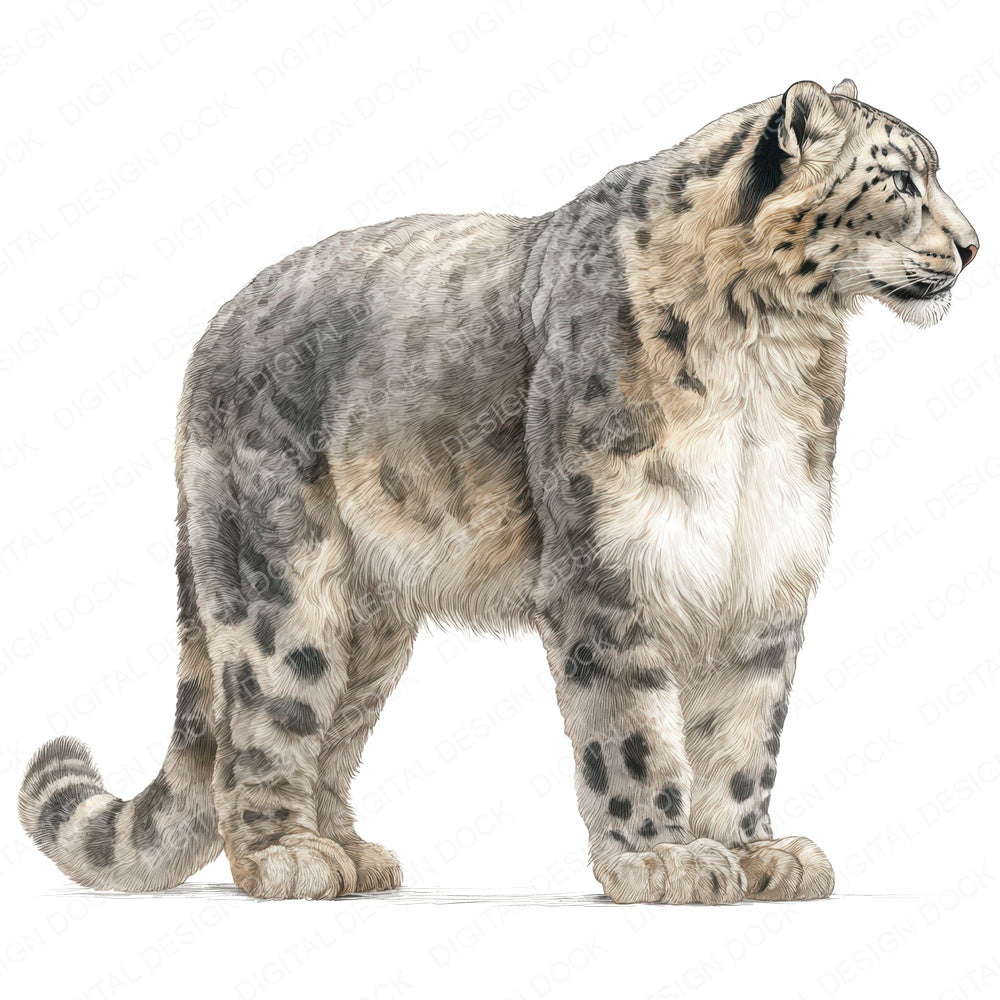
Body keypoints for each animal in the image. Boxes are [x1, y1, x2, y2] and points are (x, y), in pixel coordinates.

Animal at [20, 79, 978, 903]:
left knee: (333, 730)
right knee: (262, 720)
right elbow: (634, 733)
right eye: (901, 178)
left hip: (373, 623)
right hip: (281, 587)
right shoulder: (605, 570)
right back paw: (289, 856)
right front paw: (662, 862)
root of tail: (215, 334)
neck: (767, 355)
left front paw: (755, 853)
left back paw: (351, 852)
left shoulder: (764, 575)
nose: (971, 247)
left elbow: (745, 732)